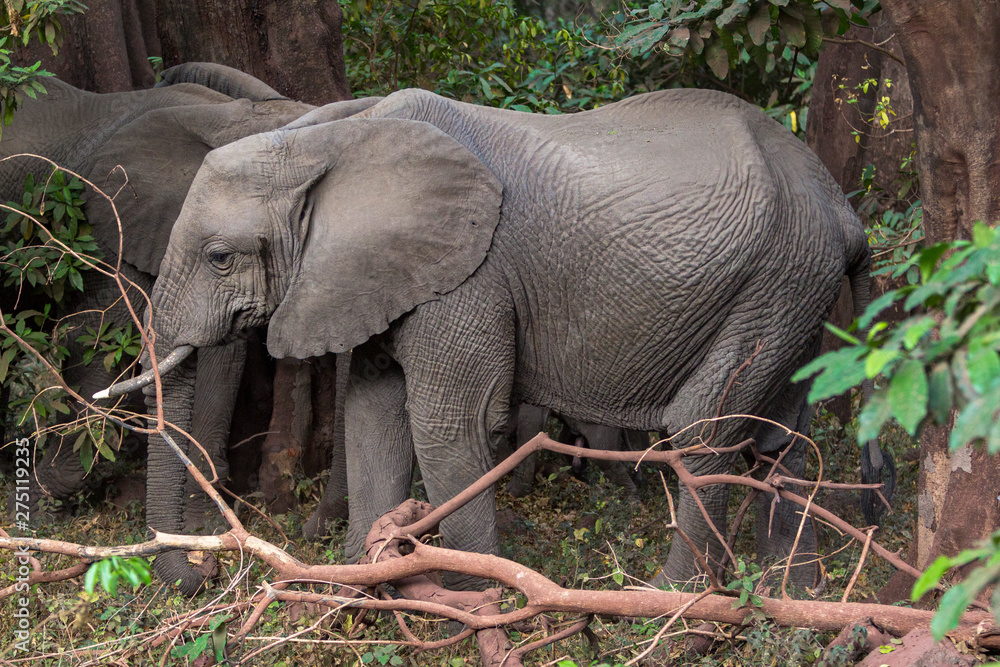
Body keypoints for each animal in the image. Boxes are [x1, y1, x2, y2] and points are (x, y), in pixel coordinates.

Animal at [100, 86, 871, 589]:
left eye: (219, 257)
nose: (199, 571)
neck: (332, 137)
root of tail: (842, 206)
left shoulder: (468, 277)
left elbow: (451, 423)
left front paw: (470, 596)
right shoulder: (391, 277)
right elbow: (373, 411)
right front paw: (359, 587)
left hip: (778, 276)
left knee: (704, 427)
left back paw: (672, 602)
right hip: (797, 290)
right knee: (783, 433)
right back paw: (795, 590)